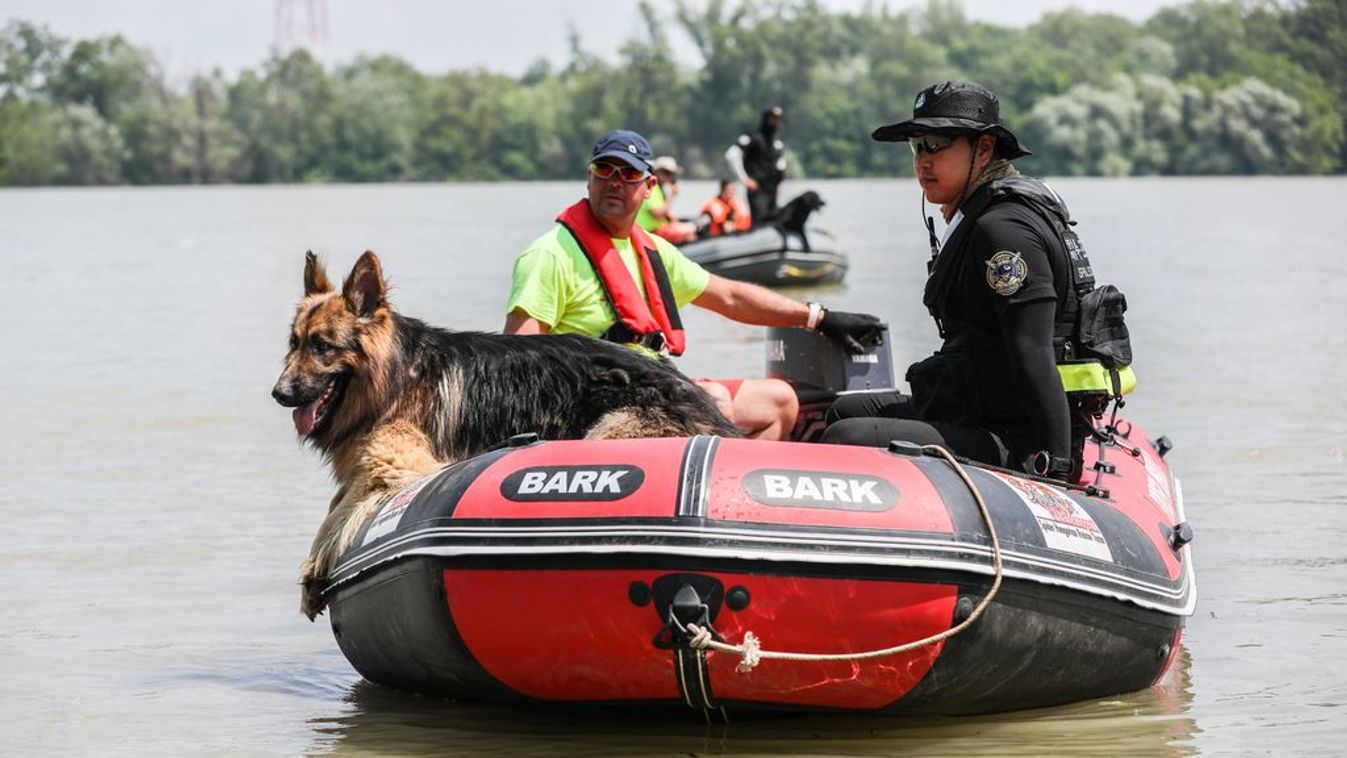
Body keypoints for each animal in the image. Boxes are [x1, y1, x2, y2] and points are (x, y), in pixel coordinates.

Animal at [273, 251, 738, 619]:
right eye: (294, 343)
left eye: (322, 346)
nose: (279, 393)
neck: (395, 377)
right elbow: (337, 502)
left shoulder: (402, 465)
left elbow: (338, 511)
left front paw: (312, 569)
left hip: (606, 433)